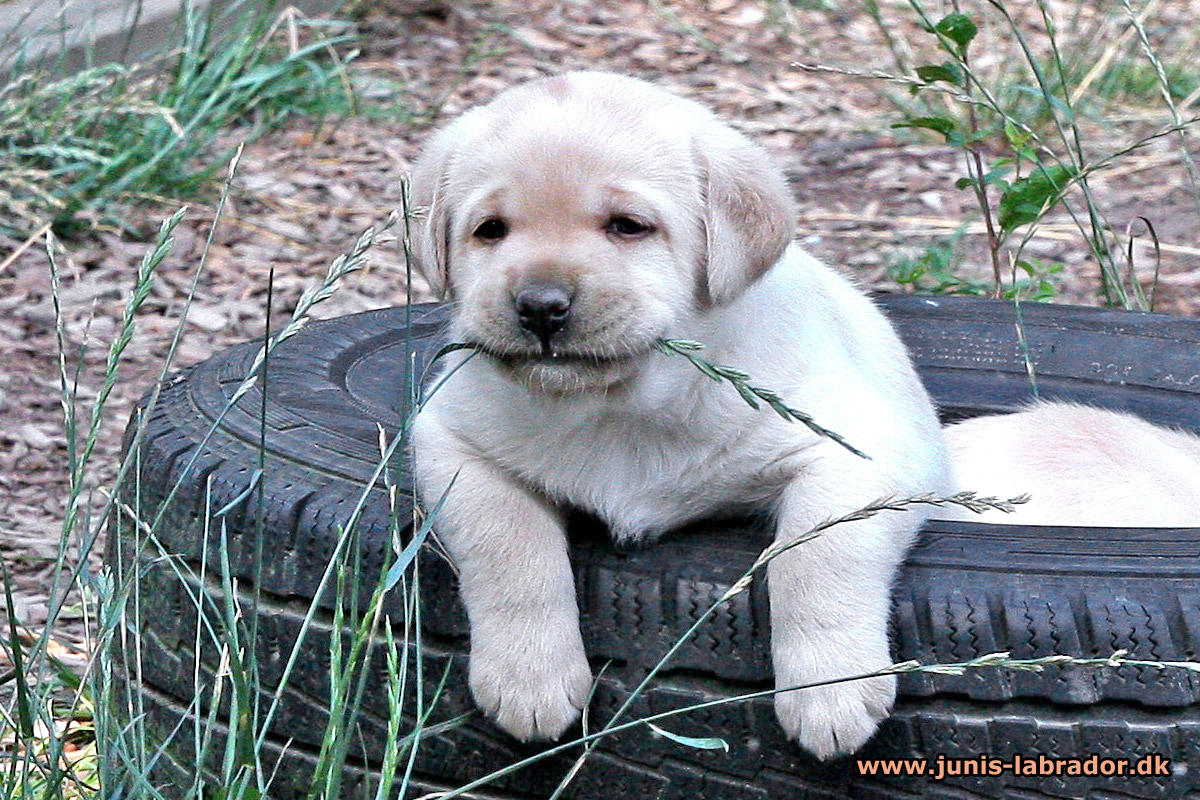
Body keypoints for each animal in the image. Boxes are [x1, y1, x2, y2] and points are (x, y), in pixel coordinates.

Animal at [408, 71, 950, 762]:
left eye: (628, 226)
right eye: (491, 229)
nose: (540, 307)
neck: (622, 406)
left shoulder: (864, 451)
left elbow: (819, 553)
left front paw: (830, 687)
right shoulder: (450, 437)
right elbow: (507, 544)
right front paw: (529, 675)